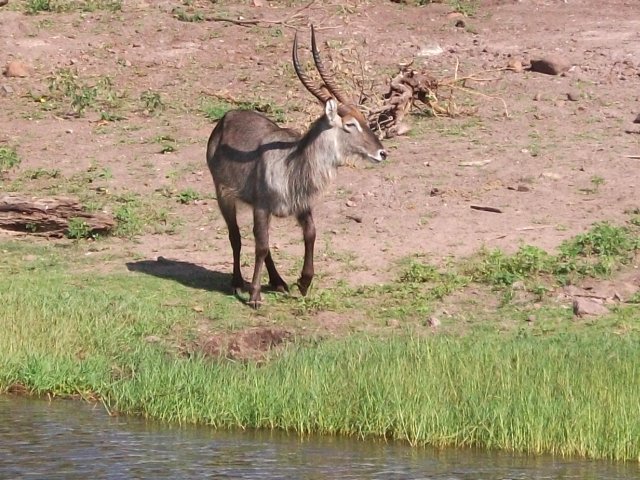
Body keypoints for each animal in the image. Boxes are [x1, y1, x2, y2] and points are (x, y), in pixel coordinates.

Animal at [206, 26, 384, 310]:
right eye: (350, 124)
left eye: (364, 119)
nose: (382, 152)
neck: (291, 163)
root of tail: (227, 117)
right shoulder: (261, 207)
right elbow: (261, 245)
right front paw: (255, 296)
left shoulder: (301, 205)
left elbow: (310, 234)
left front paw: (304, 282)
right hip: (224, 195)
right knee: (237, 236)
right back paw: (237, 282)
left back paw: (278, 281)